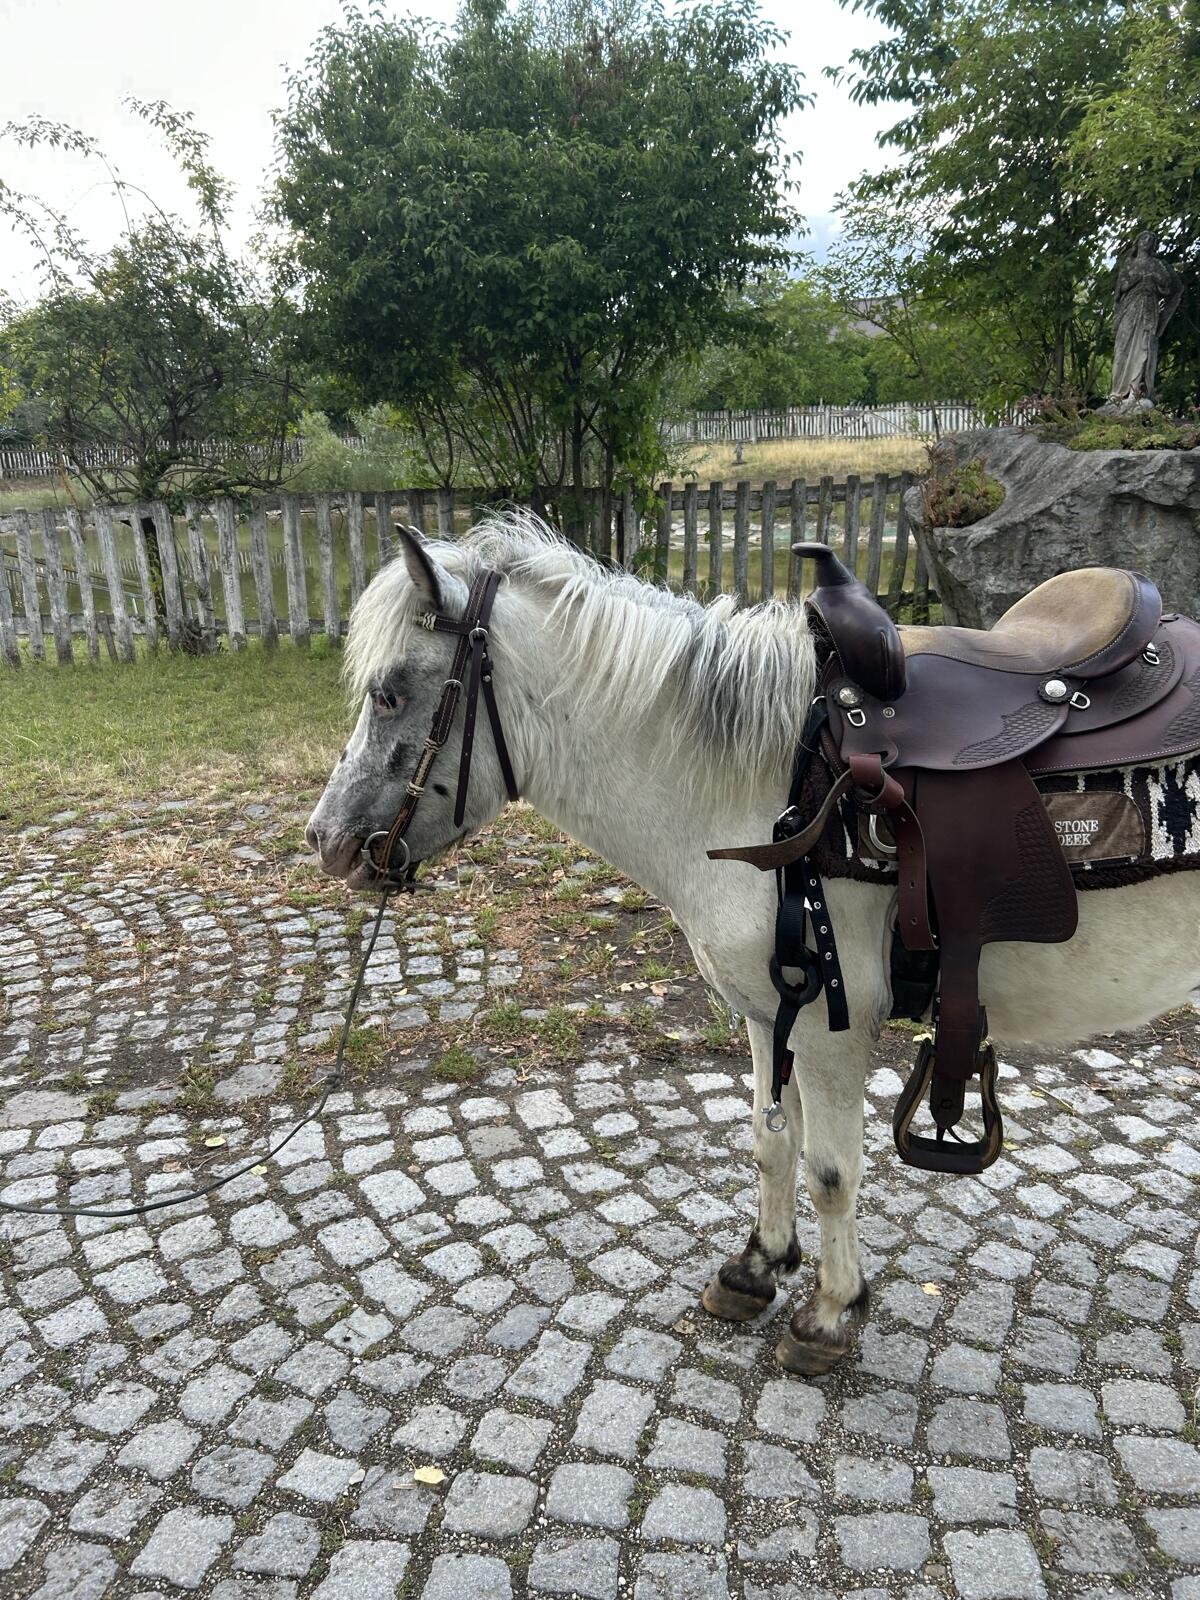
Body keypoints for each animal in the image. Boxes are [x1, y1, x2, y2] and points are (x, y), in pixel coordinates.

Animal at [306, 514, 1200, 1375]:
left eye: (389, 694)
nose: (327, 842)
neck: (769, 782)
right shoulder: (771, 1014)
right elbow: (772, 1144)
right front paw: (758, 1268)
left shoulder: (834, 1027)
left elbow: (832, 1172)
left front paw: (832, 1314)